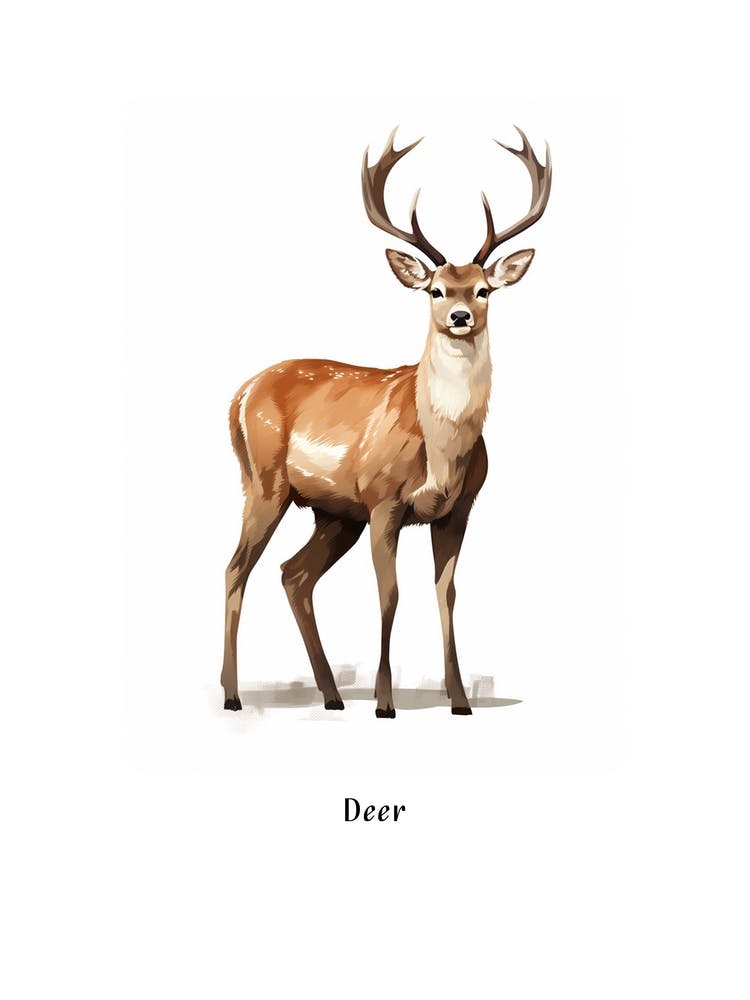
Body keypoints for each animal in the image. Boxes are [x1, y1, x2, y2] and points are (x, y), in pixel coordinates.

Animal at [222, 125, 551, 717]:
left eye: (483, 289)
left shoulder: (458, 510)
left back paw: (331, 696)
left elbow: (446, 594)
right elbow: (389, 594)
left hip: (333, 514)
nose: (460, 316)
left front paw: (459, 700)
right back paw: (234, 695)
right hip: (264, 483)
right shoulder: (383, 501)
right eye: (435, 289)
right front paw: (384, 702)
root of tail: (239, 394)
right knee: (238, 567)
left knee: (293, 574)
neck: (442, 452)